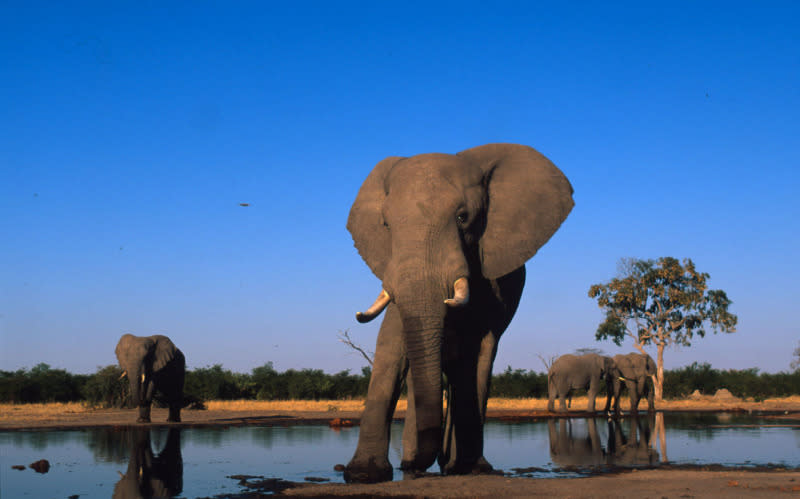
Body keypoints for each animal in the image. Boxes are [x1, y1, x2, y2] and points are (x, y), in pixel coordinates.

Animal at [344, 143, 576, 482]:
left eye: (462, 217)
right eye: (386, 225)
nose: (419, 463)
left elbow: (474, 350)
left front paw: (463, 467)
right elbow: (392, 343)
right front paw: (364, 474)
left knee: (475, 363)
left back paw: (463, 466)